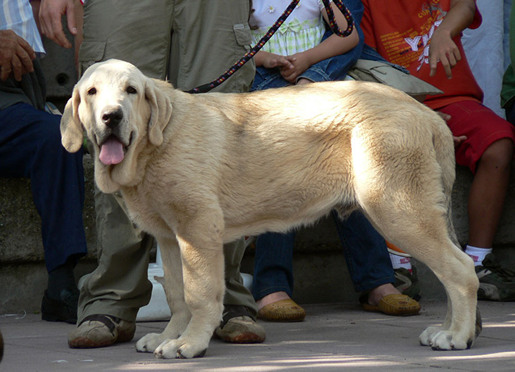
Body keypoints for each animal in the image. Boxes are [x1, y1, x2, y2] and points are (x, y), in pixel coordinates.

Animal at [62, 59, 482, 358]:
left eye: (131, 91)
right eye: (92, 92)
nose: (111, 116)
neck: (156, 142)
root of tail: (427, 115)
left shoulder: (198, 229)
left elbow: (200, 293)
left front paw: (190, 343)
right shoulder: (169, 236)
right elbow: (178, 293)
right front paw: (169, 335)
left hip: (398, 208)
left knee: (460, 270)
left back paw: (457, 336)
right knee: (452, 269)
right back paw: (450, 330)